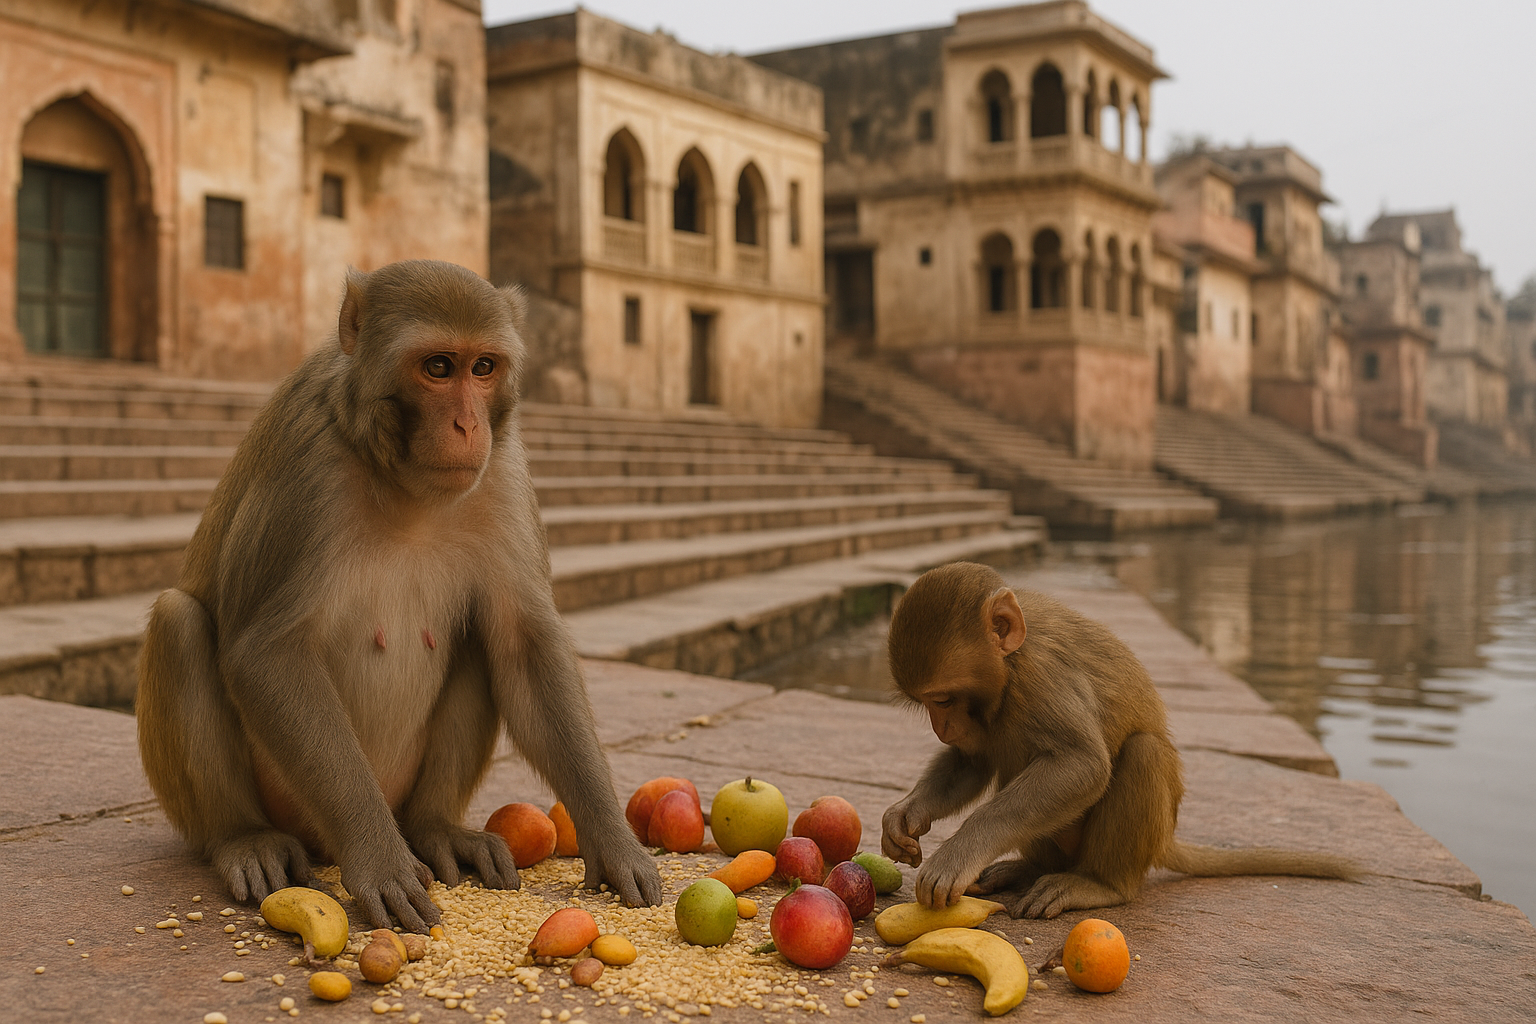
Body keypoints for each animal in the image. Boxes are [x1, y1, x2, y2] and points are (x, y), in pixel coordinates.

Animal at [136, 260, 662, 931]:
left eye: (482, 367)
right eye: (437, 367)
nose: (467, 425)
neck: (401, 478)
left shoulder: (503, 470)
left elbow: (523, 643)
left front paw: (615, 843)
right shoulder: (307, 463)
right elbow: (265, 652)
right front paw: (379, 861)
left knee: (481, 639)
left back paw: (436, 830)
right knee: (178, 622)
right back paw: (244, 838)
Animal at [880, 561, 1357, 920]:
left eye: (944, 699)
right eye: (928, 704)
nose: (942, 727)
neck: (1010, 666)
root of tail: (1164, 839)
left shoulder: (1044, 674)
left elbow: (1082, 765)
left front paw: (957, 855)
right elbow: (971, 762)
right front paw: (905, 817)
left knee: (1142, 753)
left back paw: (1100, 885)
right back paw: (1029, 868)